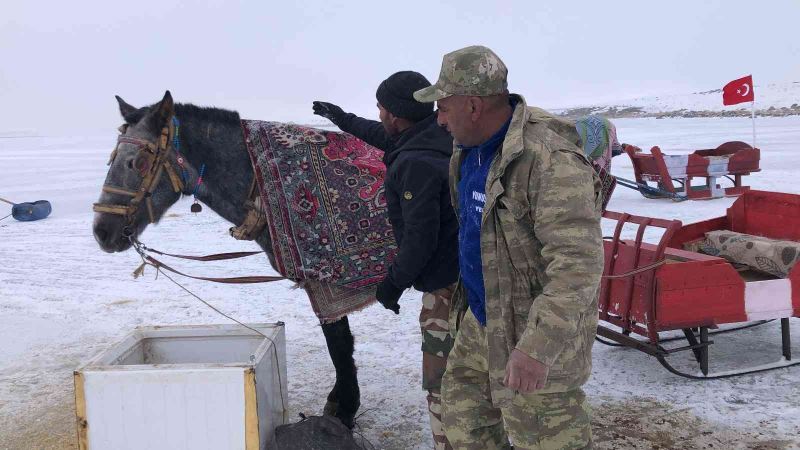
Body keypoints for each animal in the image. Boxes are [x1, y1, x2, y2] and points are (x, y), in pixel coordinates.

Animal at [91, 89, 362, 428]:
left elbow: (338, 343)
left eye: (137, 162)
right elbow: (339, 342)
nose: (101, 231)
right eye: (112, 159)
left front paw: (345, 409)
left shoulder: (325, 284)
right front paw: (340, 400)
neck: (266, 184)